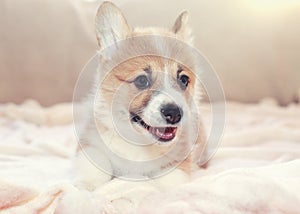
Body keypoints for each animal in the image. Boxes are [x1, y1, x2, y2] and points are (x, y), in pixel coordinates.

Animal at [74, 1, 206, 189]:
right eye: (142, 80)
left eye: (184, 80)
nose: (174, 114)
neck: (139, 142)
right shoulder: (90, 143)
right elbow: (98, 165)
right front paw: (85, 185)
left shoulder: (179, 162)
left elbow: (165, 182)